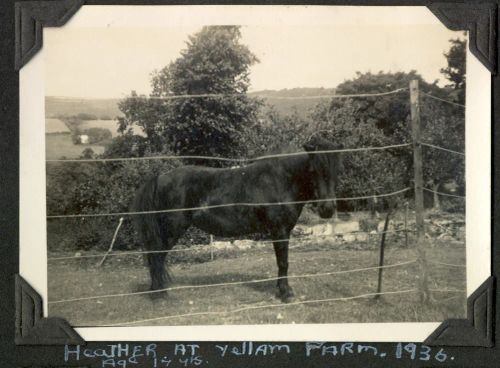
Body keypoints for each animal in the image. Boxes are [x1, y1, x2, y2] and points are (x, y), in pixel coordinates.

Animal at [133, 136, 342, 302]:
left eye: (336, 170)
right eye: (313, 170)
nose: (328, 209)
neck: (282, 180)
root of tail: (160, 177)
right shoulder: (279, 230)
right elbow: (283, 262)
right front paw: (285, 293)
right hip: (171, 230)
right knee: (157, 256)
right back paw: (158, 293)